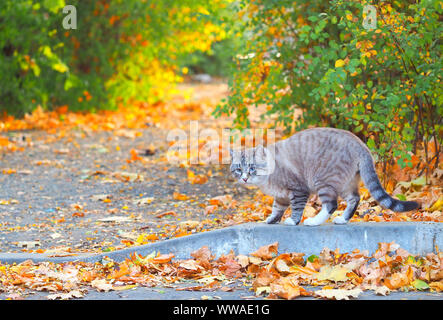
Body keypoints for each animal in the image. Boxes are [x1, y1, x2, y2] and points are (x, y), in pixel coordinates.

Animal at [231, 126, 422, 226]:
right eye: (238, 169)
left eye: (252, 168)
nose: (245, 178)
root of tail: (360, 144)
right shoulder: (281, 195)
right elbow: (277, 208)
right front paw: (271, 219)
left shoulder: (298, 190)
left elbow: (296, 208)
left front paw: (293, 221)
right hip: (346, 183)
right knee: (354, 199)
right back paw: (342, 220)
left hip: (324, 181)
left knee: (331, 204)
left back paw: (314, 221)